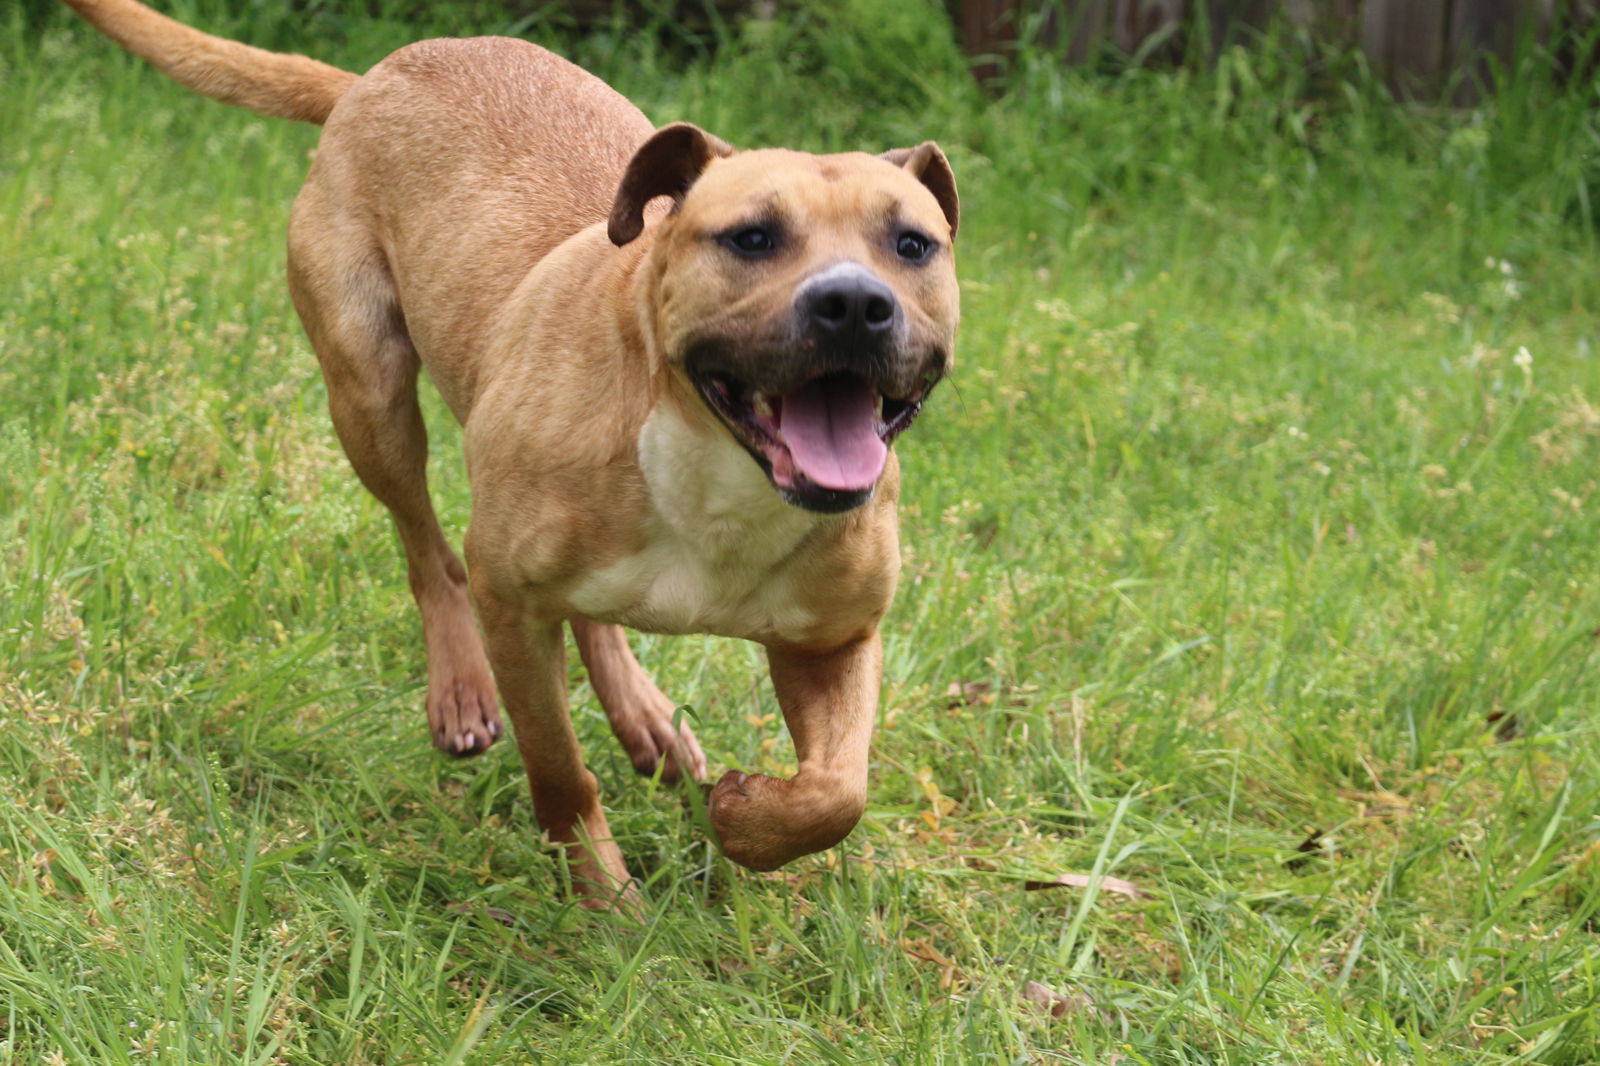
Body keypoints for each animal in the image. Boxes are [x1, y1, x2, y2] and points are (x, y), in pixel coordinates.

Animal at [62, 0, 953, 902]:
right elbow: (557, 765)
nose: (855, 304)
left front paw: (744, 818)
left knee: (590, 616)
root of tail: (373, 77)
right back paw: (461, 688)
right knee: (428, 551)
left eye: (913, 245)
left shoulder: (834, 640)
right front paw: (601, 894)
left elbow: (837, 793)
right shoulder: (512, 610)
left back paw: (643, 714)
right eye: (752, 238)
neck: (714, 473)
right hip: (370, 400)